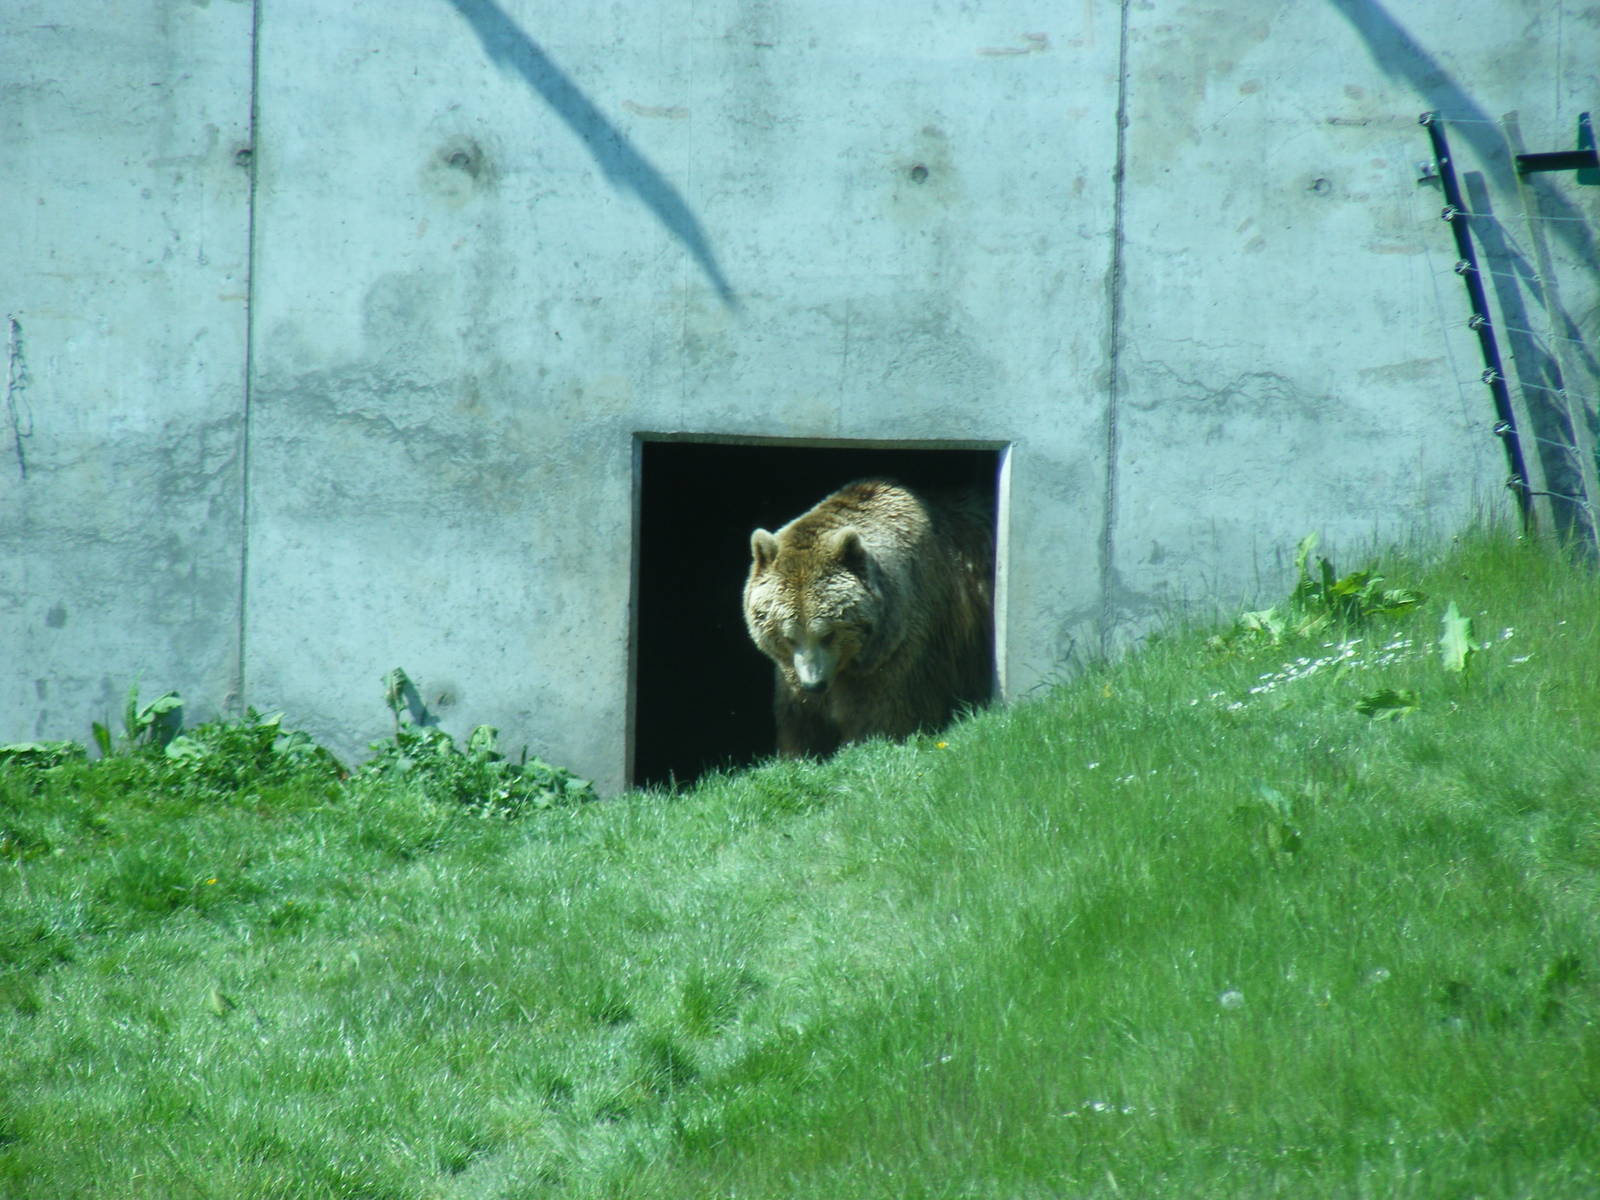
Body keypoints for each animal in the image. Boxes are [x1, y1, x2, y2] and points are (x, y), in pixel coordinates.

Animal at [742, 479, 995, 758]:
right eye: (788, 637)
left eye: (828, 634)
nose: (814, 684)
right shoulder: (793, 676)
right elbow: (800, 722)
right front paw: (799, 752)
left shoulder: (900, 651)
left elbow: (883, 713)